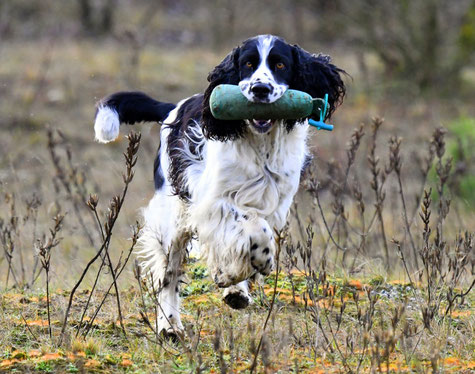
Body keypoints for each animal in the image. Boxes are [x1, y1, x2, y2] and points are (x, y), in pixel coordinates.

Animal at [93, 34, 346, 336]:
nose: (260, 89)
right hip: (173, 218)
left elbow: (253, 235)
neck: (260, 144)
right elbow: (251, 230)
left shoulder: (275, 203)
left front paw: (238, 280)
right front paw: (247, 267)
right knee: (169, 273)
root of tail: (173, 109)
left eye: (280, 65)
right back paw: (170, 325)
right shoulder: (214, 202)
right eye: (247, 64)